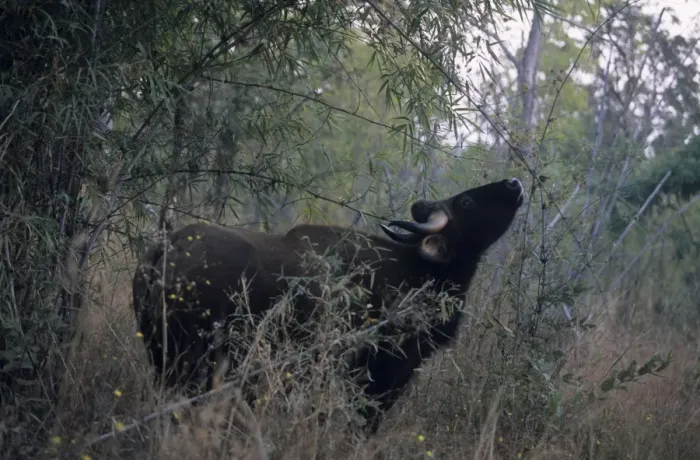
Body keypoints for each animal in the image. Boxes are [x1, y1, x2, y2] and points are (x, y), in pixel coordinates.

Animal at [132, 177, 524, 433]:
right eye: (467, 203)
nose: (514, 183)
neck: (416, 270)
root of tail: (168, 247)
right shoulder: (380, 373)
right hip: (191, 364)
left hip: (163, 359)